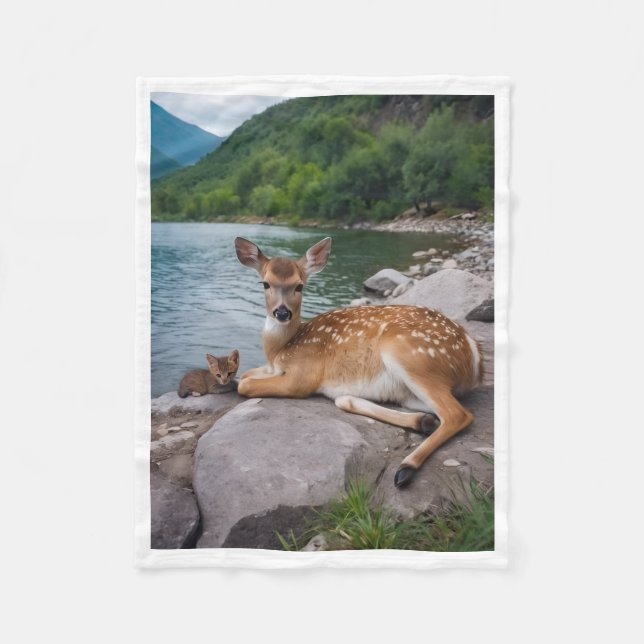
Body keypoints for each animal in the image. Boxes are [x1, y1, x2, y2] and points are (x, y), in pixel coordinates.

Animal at [234, 236, 483, 488]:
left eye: (299, 285)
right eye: (265, 284)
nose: (282, 313)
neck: (281, 349)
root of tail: (473, 354)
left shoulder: (302, 376)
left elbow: (245, 384)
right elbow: (245, 374)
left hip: (408, 353)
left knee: (459, 414)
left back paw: (406, 468)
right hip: (409, 388)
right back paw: (422, 422)